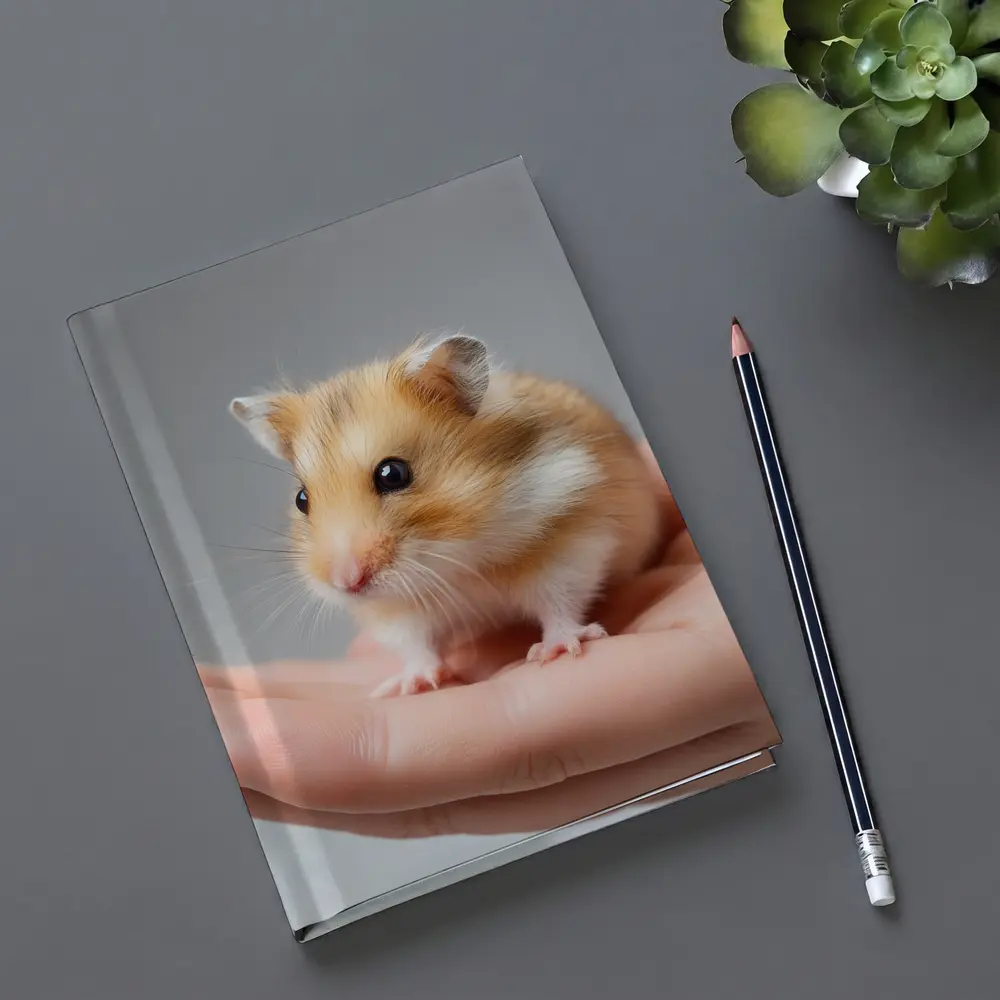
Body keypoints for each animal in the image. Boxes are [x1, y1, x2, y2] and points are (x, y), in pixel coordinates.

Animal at [230, 333, 661, 698]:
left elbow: (559, 603)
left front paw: (555, 651)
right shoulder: (395, 611)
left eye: (393, 473)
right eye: (302, 498)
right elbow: (414, 643)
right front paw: (410, 684)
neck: (453, 559)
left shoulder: (569, 543)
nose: (346, 583)